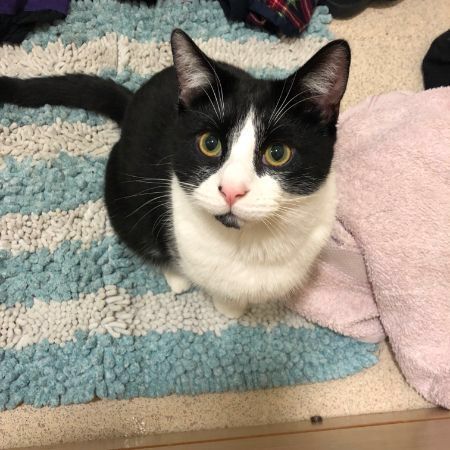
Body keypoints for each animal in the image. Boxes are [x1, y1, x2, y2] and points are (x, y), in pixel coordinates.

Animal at [0, 29, 350, 318]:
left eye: (278, 153)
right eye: (209, 143)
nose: (231, 190)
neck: (249, 242)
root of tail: (132, 104)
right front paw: (230, 308)